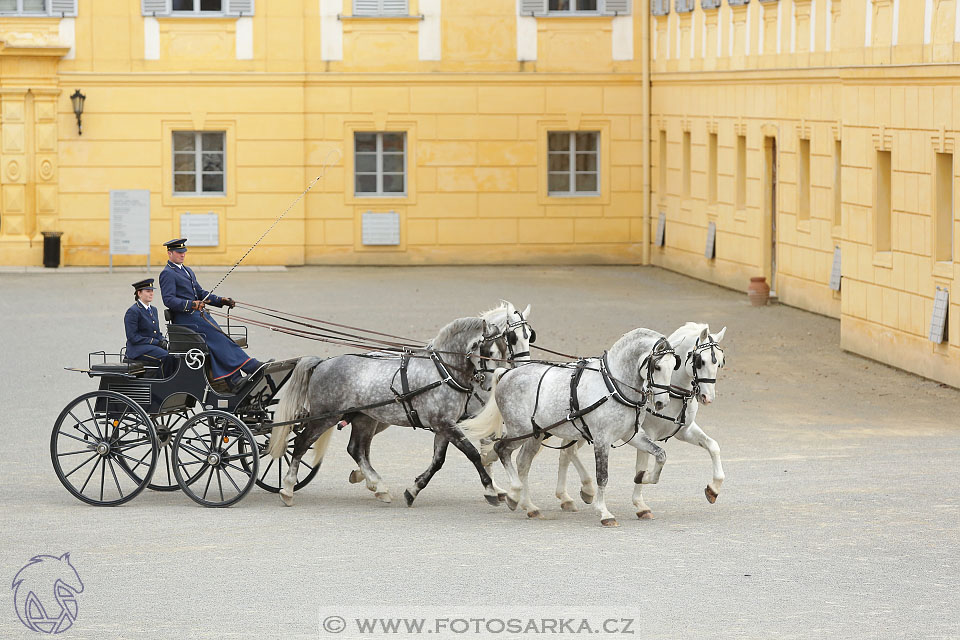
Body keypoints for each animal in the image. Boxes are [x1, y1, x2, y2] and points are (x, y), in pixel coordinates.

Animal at [266, 316, 498, 504]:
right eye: (488, 350)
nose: (489, 385)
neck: (443, 372)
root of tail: (323, 363)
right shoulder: (444, 424)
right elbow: (473, 453)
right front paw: (491, 490)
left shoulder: (444, 425)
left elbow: (438, 461)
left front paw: (413, 490)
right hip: (325, 417)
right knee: (301, 443)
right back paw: (287, 489)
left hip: (364, 418)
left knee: (356, 449)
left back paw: (378, 486)